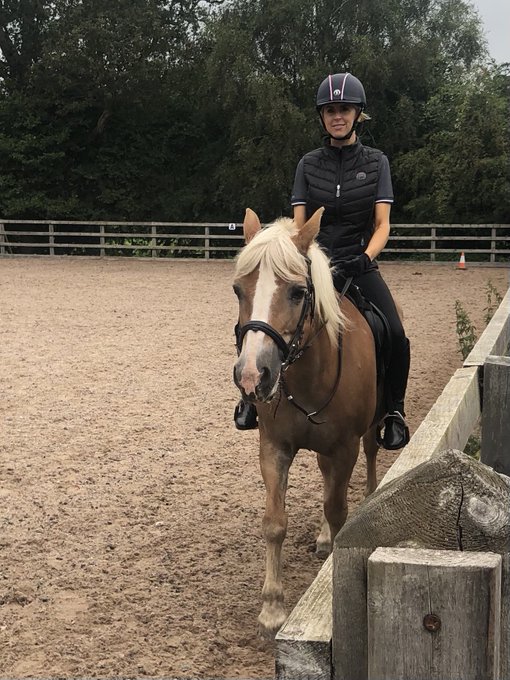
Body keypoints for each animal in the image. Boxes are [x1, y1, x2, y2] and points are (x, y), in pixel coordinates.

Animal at [232, 207, 384, 637]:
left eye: (298, 292)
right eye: (238, 290)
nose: (252, 376)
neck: (309, 374)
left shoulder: (345, 446)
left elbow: (339, 511)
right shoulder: (274, 448)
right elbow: (274, 522)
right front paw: (272, 607)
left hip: (370, 430)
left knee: (369, 456)